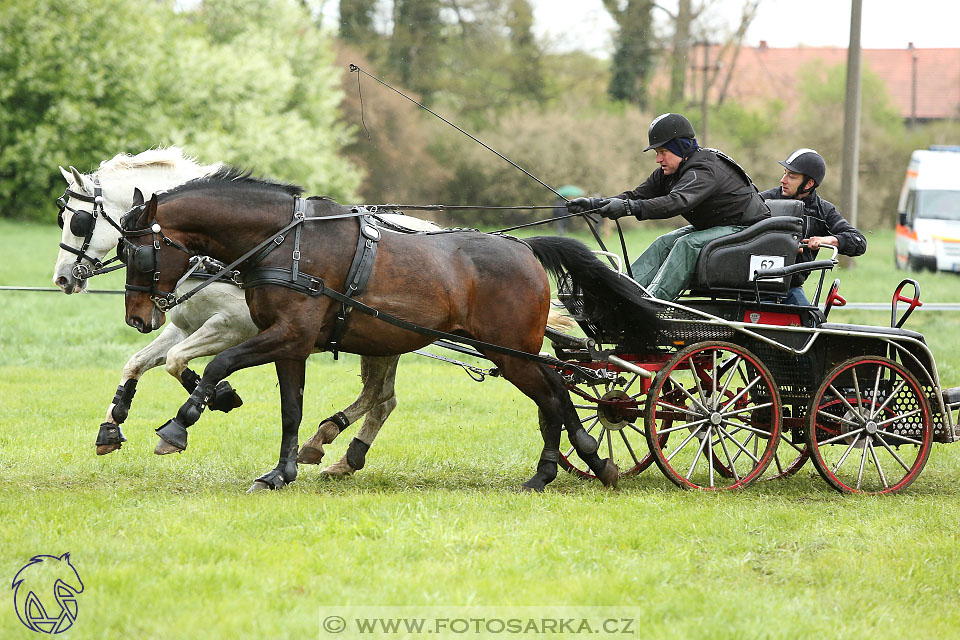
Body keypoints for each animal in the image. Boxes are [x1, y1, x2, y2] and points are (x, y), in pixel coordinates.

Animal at [54, 148, 436, 472]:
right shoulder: (185, 325)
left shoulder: (232, 326)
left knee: (379, 397)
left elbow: (178, 361)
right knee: (384, 399)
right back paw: (342, 456)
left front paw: (218, 396)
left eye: (78, 222)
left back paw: (327, 443)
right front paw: (111, 425)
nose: (62, 278)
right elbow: (138, 362)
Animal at [120, 169, 660, 490]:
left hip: (509, 352)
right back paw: (560, 468)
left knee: (554, 394)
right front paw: (282, 471)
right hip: (509, 352)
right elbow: (291, 411)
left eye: (137, 251)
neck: (286, 242)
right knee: (555, 393)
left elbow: (219, 363)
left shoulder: (285, 336)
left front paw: (180, 424)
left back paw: (583, 461)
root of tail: (526, 248)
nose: (138, 318)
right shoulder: (291, 345)